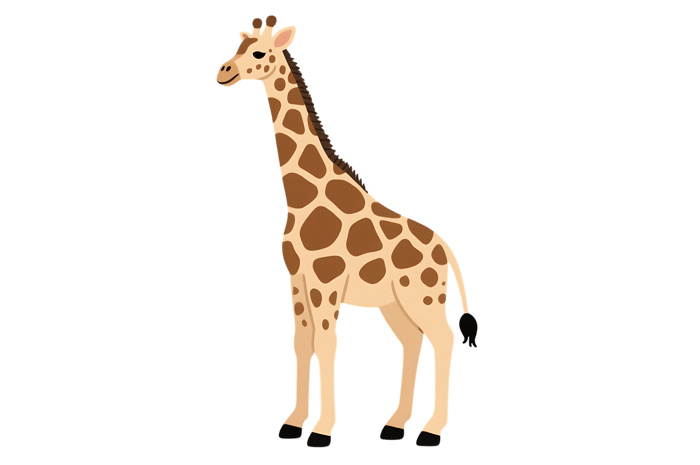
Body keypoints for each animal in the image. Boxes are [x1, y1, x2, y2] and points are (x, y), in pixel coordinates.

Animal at [215, 15, 478, 448]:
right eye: (238, 48)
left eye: (259, 52)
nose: (224, 71)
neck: (300, 197)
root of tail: (445, 250)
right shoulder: (297, 279)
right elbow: (301, 343)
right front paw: (292, 423)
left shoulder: (327, 280)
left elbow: (327, 345)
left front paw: (322, 431)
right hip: (394, 302)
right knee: (412, 341)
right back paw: (394, 425)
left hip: (424, 296)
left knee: (442, 340)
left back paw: (431, 430)